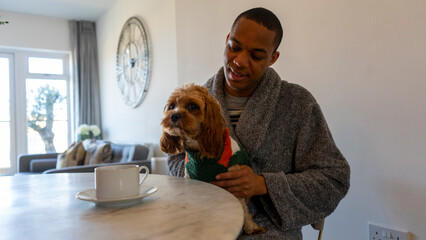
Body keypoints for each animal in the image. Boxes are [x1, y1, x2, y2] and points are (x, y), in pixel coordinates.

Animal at [161, 83, 264, 234]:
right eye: (172, 106)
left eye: (192, 106)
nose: (173, 115)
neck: (199, 149)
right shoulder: (190, 177)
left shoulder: (234, 183)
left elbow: (244, 210)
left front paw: (251, 227)